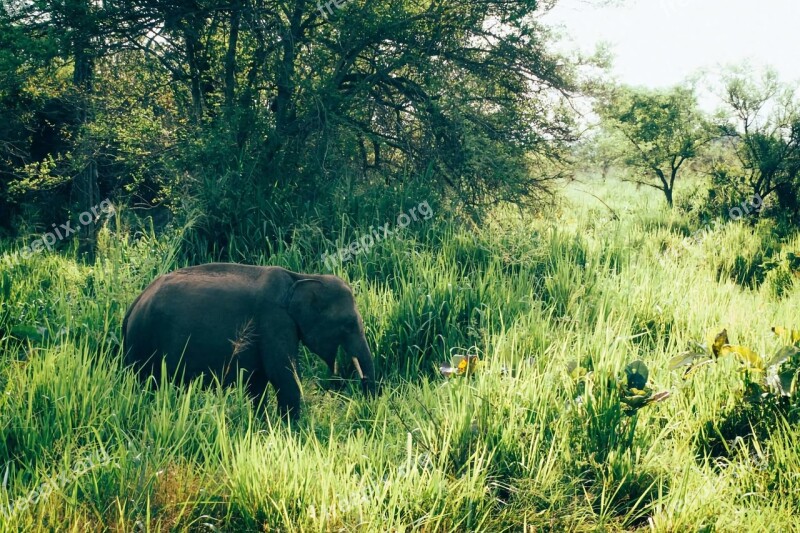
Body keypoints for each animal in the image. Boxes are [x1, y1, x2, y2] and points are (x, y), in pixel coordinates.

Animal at [122, 264, 378, 418]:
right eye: (347, 323)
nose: (367, 405)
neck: (302, 277)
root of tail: (134, 304)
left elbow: (259, 382)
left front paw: (263, 425)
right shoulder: (274, 320)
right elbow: (283, 375)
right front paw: (292, 431)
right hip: (144, 343)